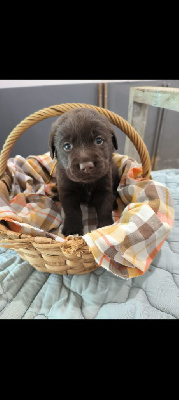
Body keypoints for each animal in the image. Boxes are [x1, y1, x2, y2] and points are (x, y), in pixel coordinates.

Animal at [48, 108, 120, 236]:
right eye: (67, 146)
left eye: (98, 140)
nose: (86, 166)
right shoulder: (68, 192)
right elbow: (72, 211)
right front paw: (73, 230)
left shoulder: (104, 188)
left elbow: (105, 208)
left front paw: (105, 227)